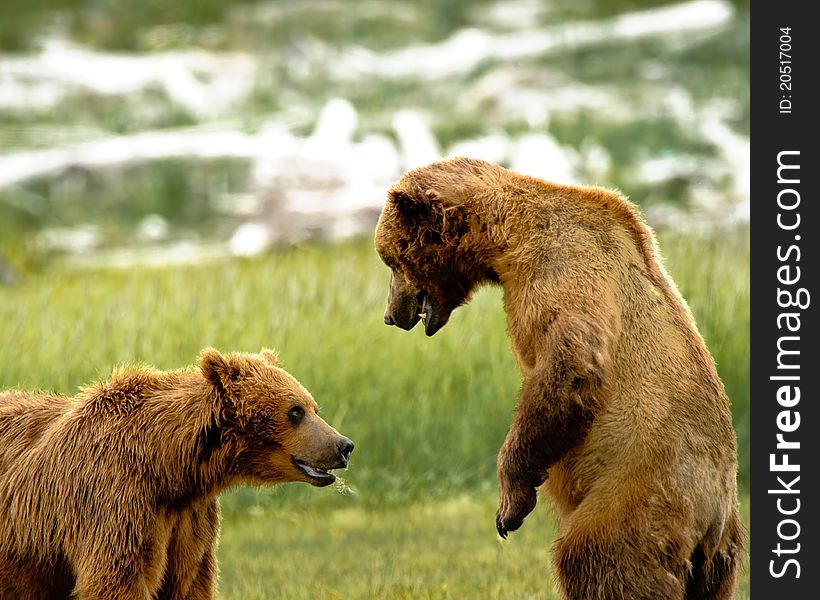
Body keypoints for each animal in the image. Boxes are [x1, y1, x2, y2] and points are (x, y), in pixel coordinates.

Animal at [0, 350, 352, 596]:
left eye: (313, 406)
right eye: (296, 411)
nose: (344, 445)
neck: (168, 468)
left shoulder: (188, 519)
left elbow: (189, 580)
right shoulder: (113, 501)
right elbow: (118, 578)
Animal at [374, 158, 748, 600]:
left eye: (389, 259)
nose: (390, 315)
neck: (506, 239)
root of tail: (712, 520)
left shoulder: (560, 266)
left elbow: (572, 364)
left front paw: (510, 504)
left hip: (637, 493)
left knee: (599, 558)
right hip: (721, 559)